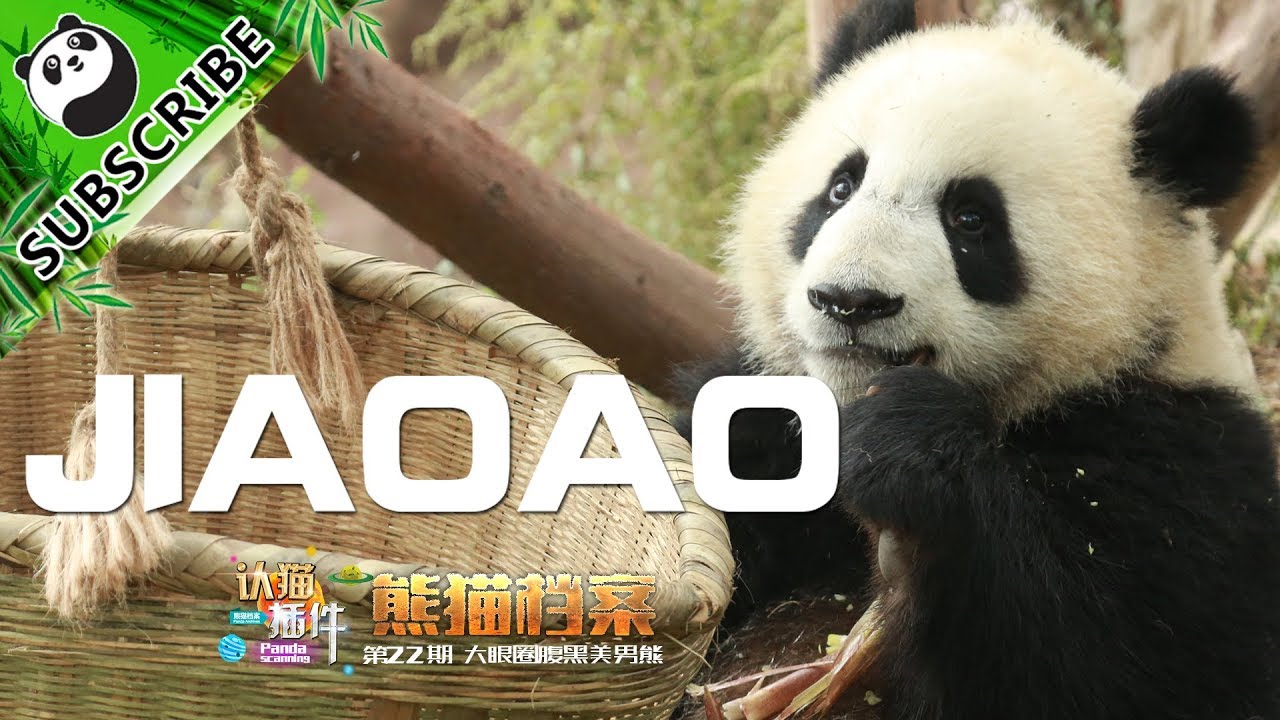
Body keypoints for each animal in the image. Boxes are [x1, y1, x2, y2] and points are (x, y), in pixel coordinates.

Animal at [672, 1, 1280, 718]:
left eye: (970, 218)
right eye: (841, 187)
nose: (850, 301)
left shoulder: (1184, 463)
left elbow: (1120, 668)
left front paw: (905, 459)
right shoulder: (758, 416)